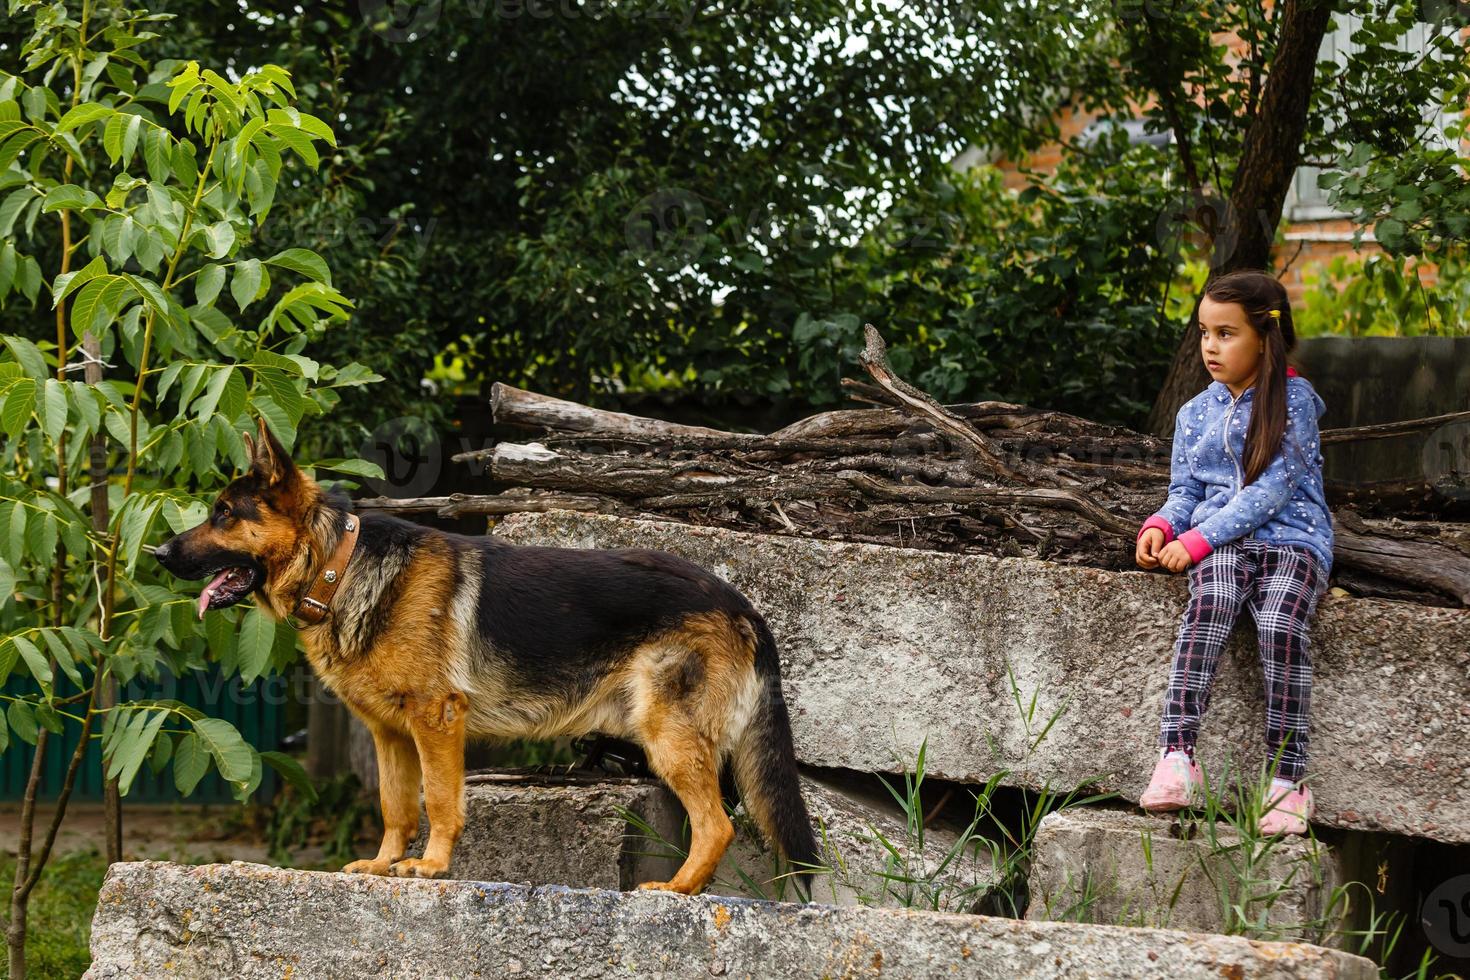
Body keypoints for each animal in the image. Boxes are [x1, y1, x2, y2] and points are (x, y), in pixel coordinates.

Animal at [155, 417, 823, 899]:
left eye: (223, 514)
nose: (159, 554)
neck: (338, 567)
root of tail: (743, 604)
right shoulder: (389, 735)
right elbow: (396, 807)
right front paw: (384, 863)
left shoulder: (436, 720)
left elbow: (440, 801)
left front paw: (431, 867)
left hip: (669, 737)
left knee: (718, 825)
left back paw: (677, 890)